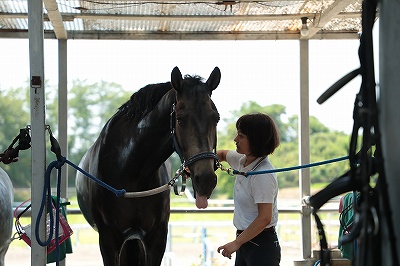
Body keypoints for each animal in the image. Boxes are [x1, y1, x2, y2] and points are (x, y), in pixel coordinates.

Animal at [75, 67, 222, 266]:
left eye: (216, 118)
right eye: (180, 119)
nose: (206, 180)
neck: (131, 171)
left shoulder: (156, 239)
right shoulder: (108, 240)